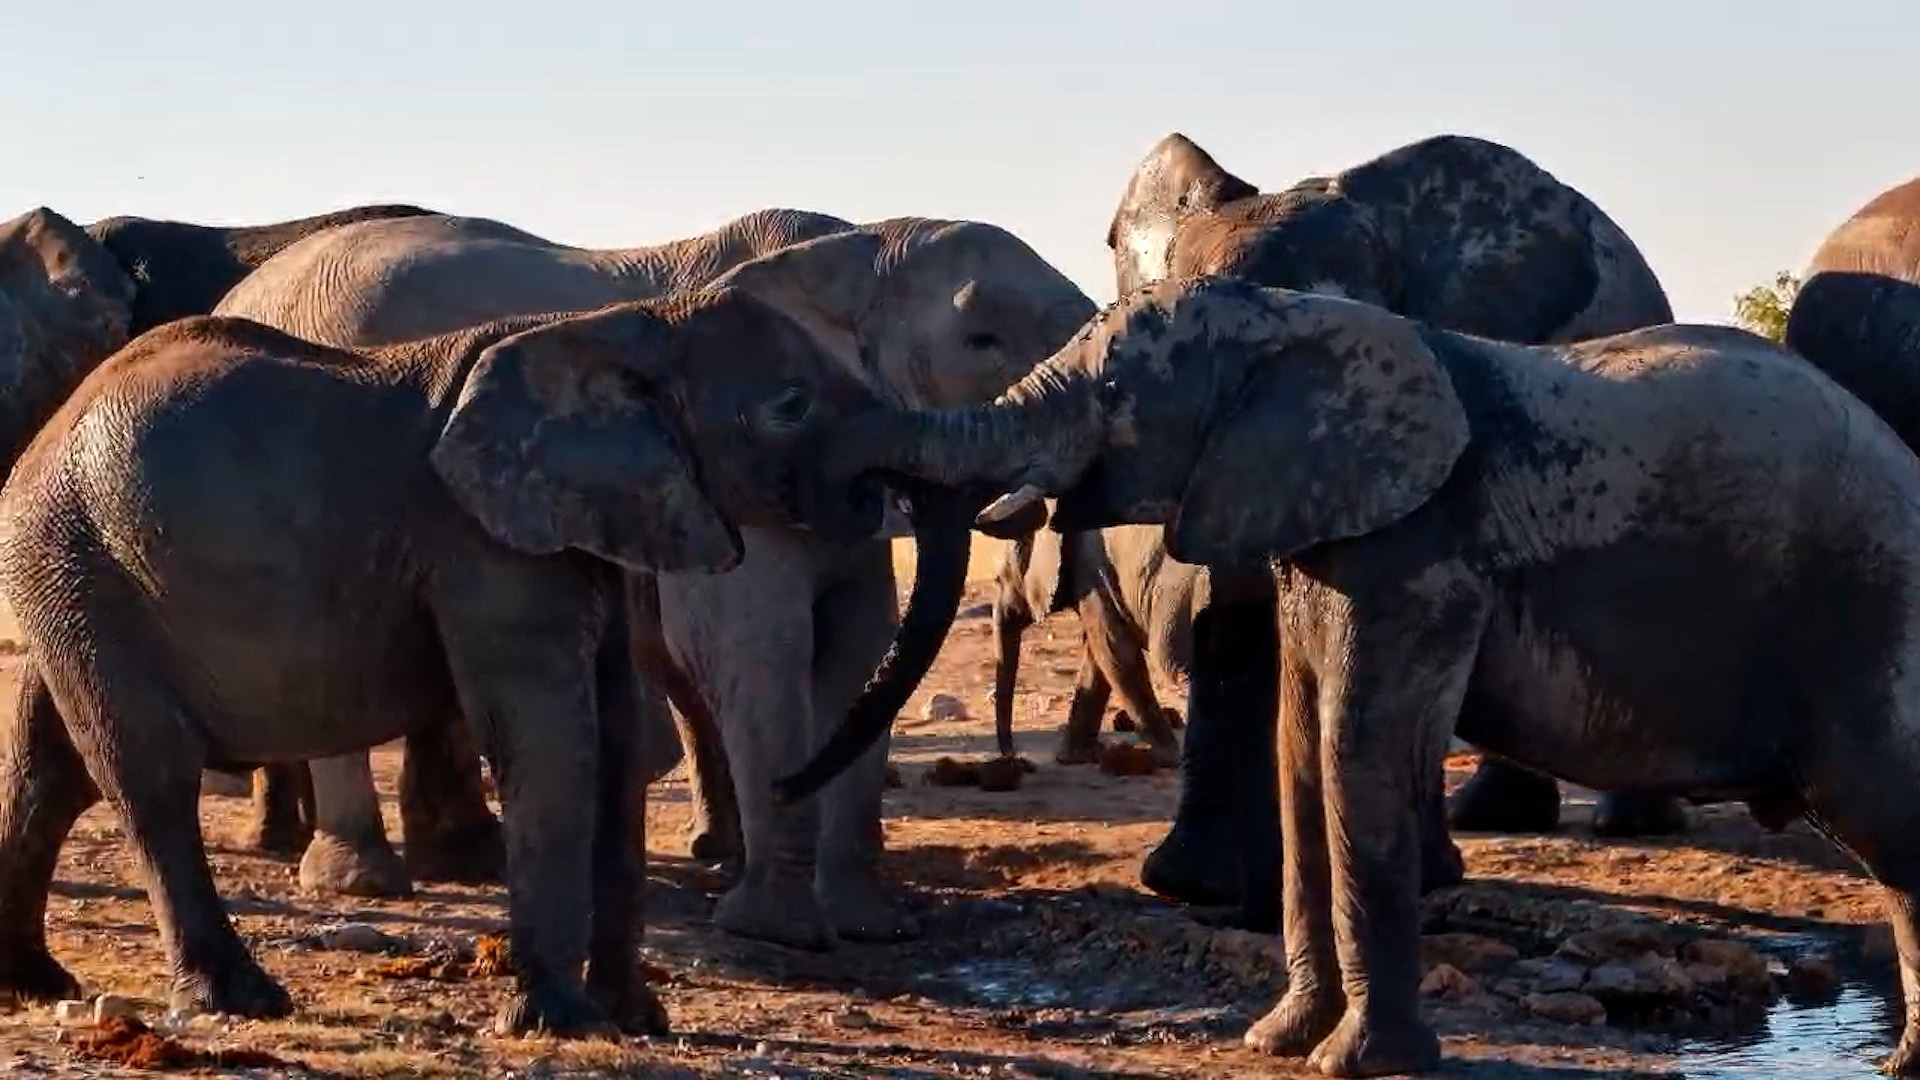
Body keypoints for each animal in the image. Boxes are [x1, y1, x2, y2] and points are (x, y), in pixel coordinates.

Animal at [0, 285, 889, 1035]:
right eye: (789, 406)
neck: (618, 326)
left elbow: (614, 741)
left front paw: (635, 1022)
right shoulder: (483, 549)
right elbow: (549, 740)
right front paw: (559, 1025)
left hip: (75, 576)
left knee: (49, 768)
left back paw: (36, 985)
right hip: (83, 562)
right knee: (148, 773)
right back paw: (241, 999)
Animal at [216, 209, 1097, 949]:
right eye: (981, 339)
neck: (857, 249)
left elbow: (858, 644)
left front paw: (869, 927)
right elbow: (759, 649)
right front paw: (777, 932)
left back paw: (473, 863)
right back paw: (362, 881)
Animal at [788, 276, 1920, 1078]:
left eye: (1113, 395)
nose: (786, 781)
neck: (1296, 316)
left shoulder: (1416, 552)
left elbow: (1356, 748)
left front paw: (1359, 1065)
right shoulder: (1315, 533)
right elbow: (1300, 752)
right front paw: (1277, 1043)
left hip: (1865, 612)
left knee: (1886, 812)